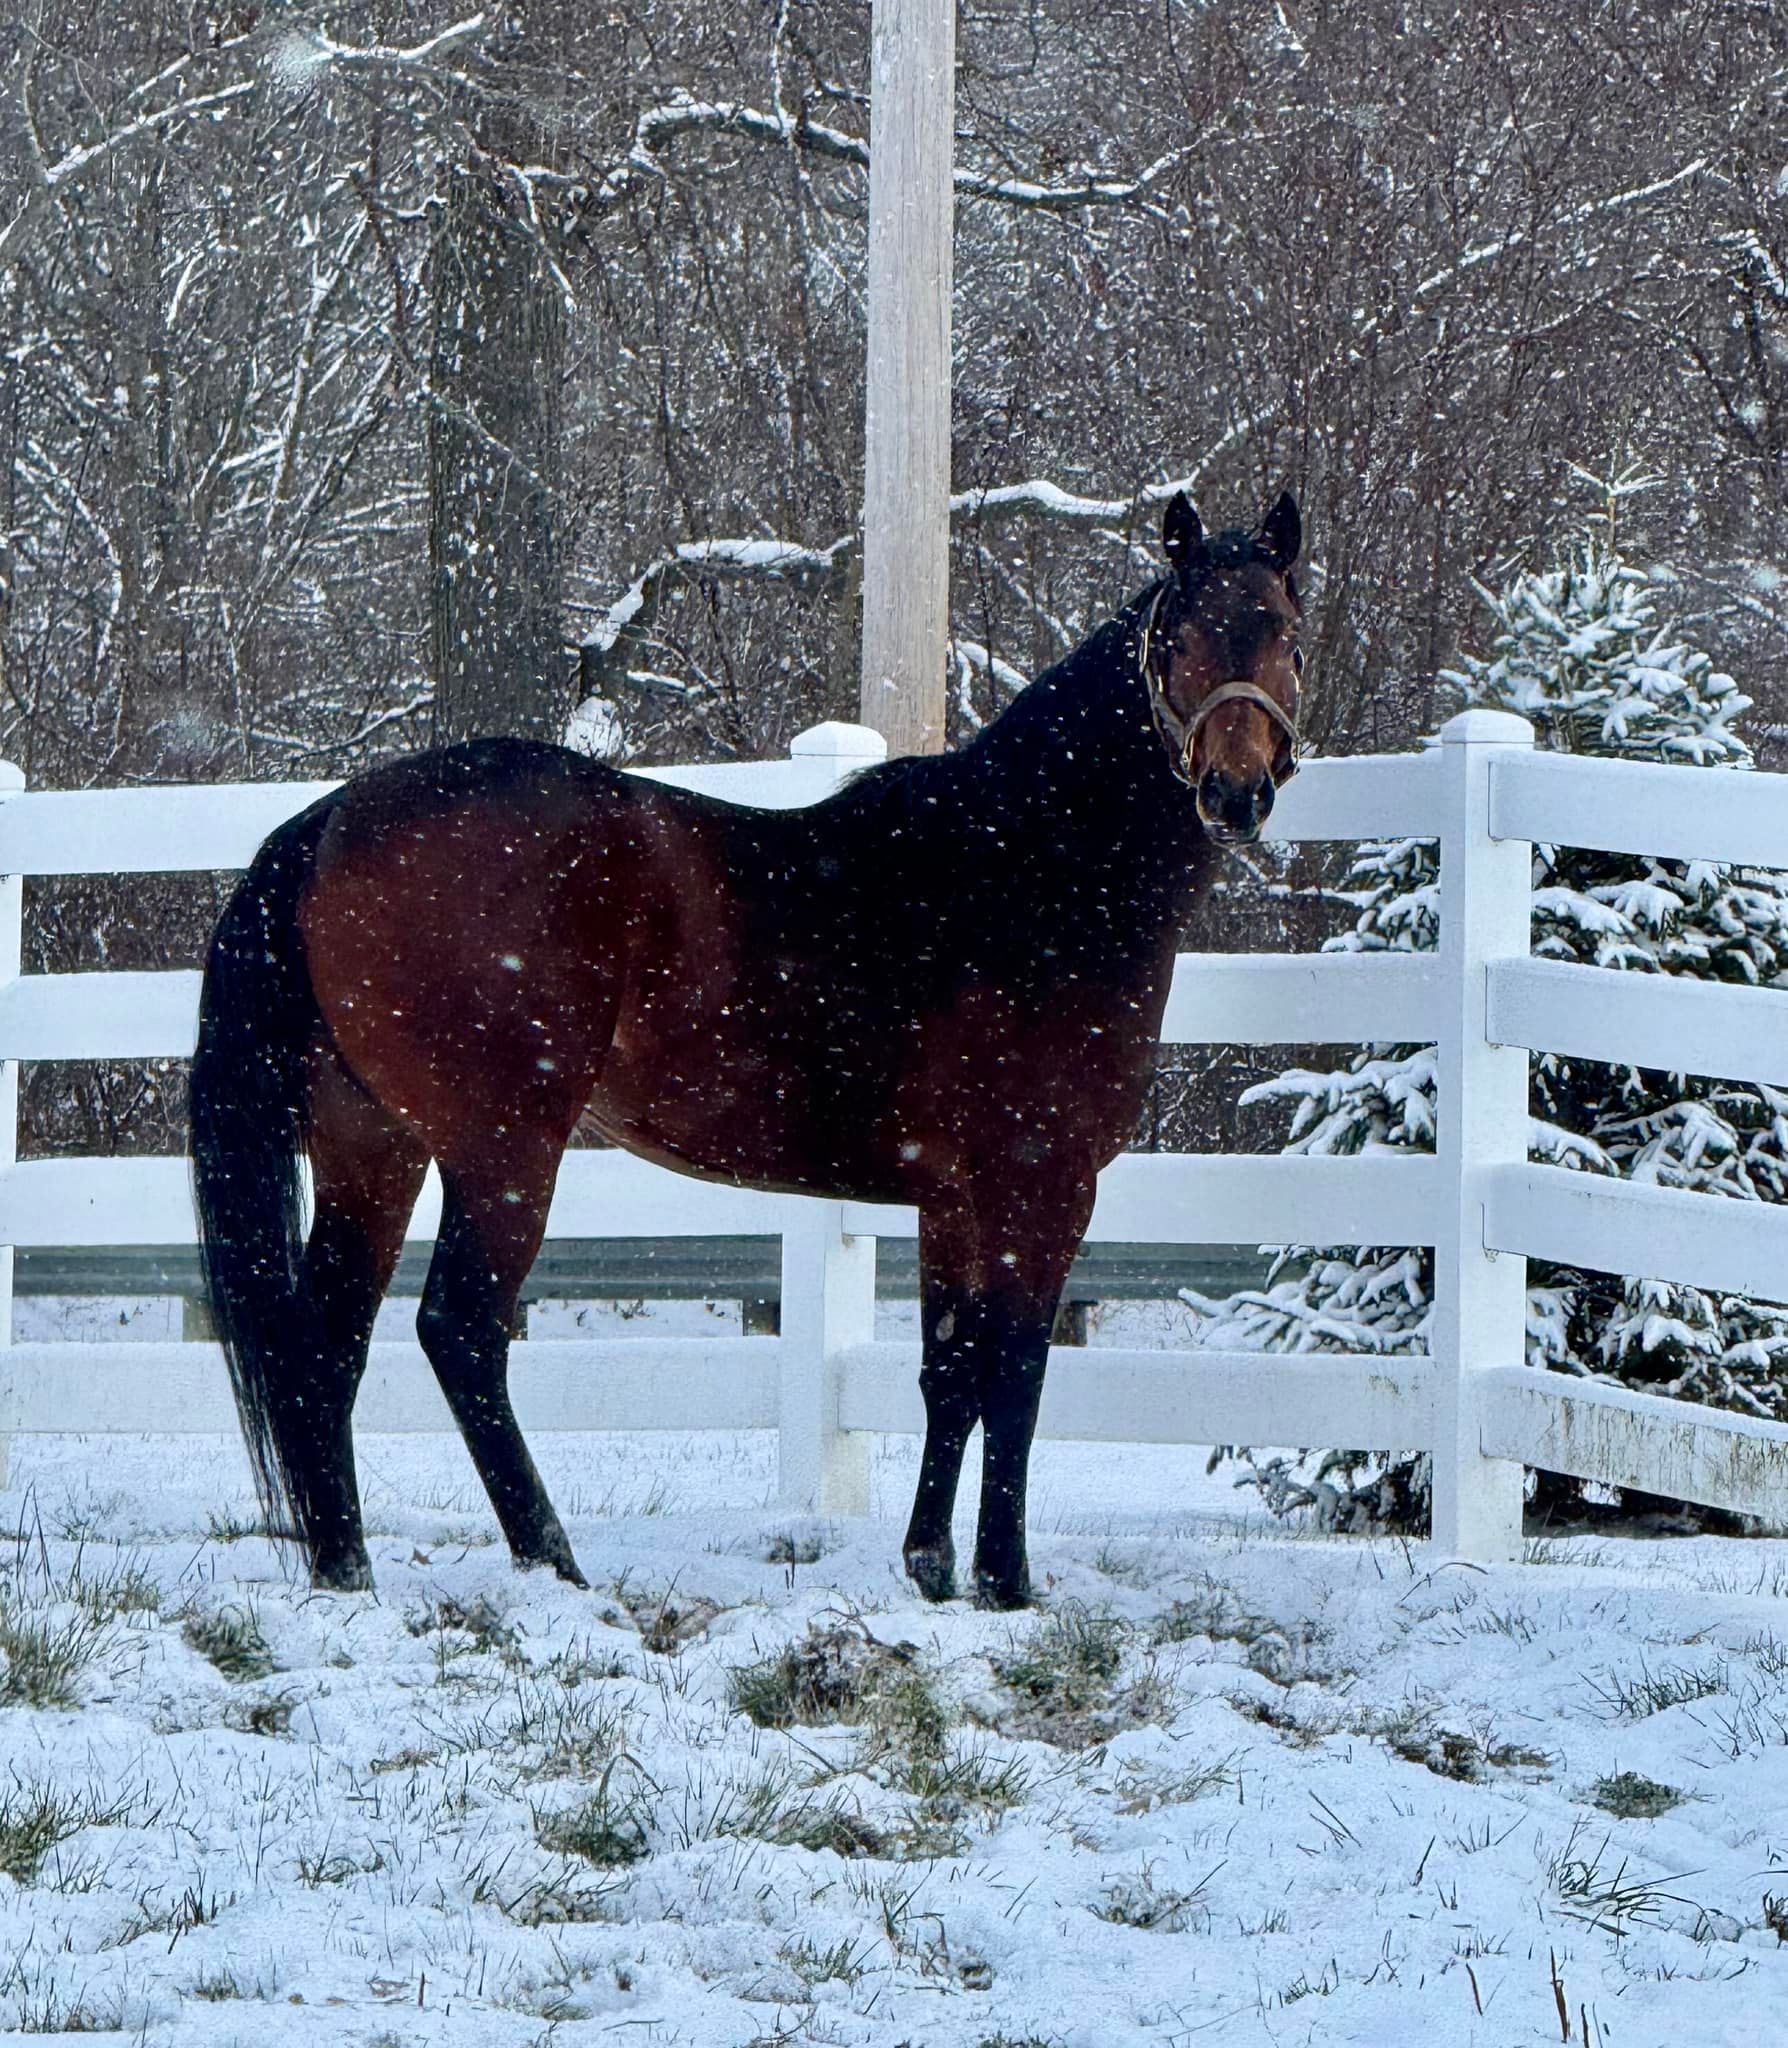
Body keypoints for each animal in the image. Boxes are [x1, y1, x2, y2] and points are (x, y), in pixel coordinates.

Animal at [190, 488, 1303, 1608]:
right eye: (1179, 637)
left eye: (1285, 630)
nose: (1236, 790)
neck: (1024, 869)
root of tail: (331, 819)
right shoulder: (1043, 1182)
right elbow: (1017, 1371)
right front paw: (1006, 1581)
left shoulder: (952, 1197)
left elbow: (951, 1372)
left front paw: (931, 1568)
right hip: (503, 1150)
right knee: (458, 1330)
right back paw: (552, 1562)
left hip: (372, 1143)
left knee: (326, 1342)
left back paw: (348, 1571)